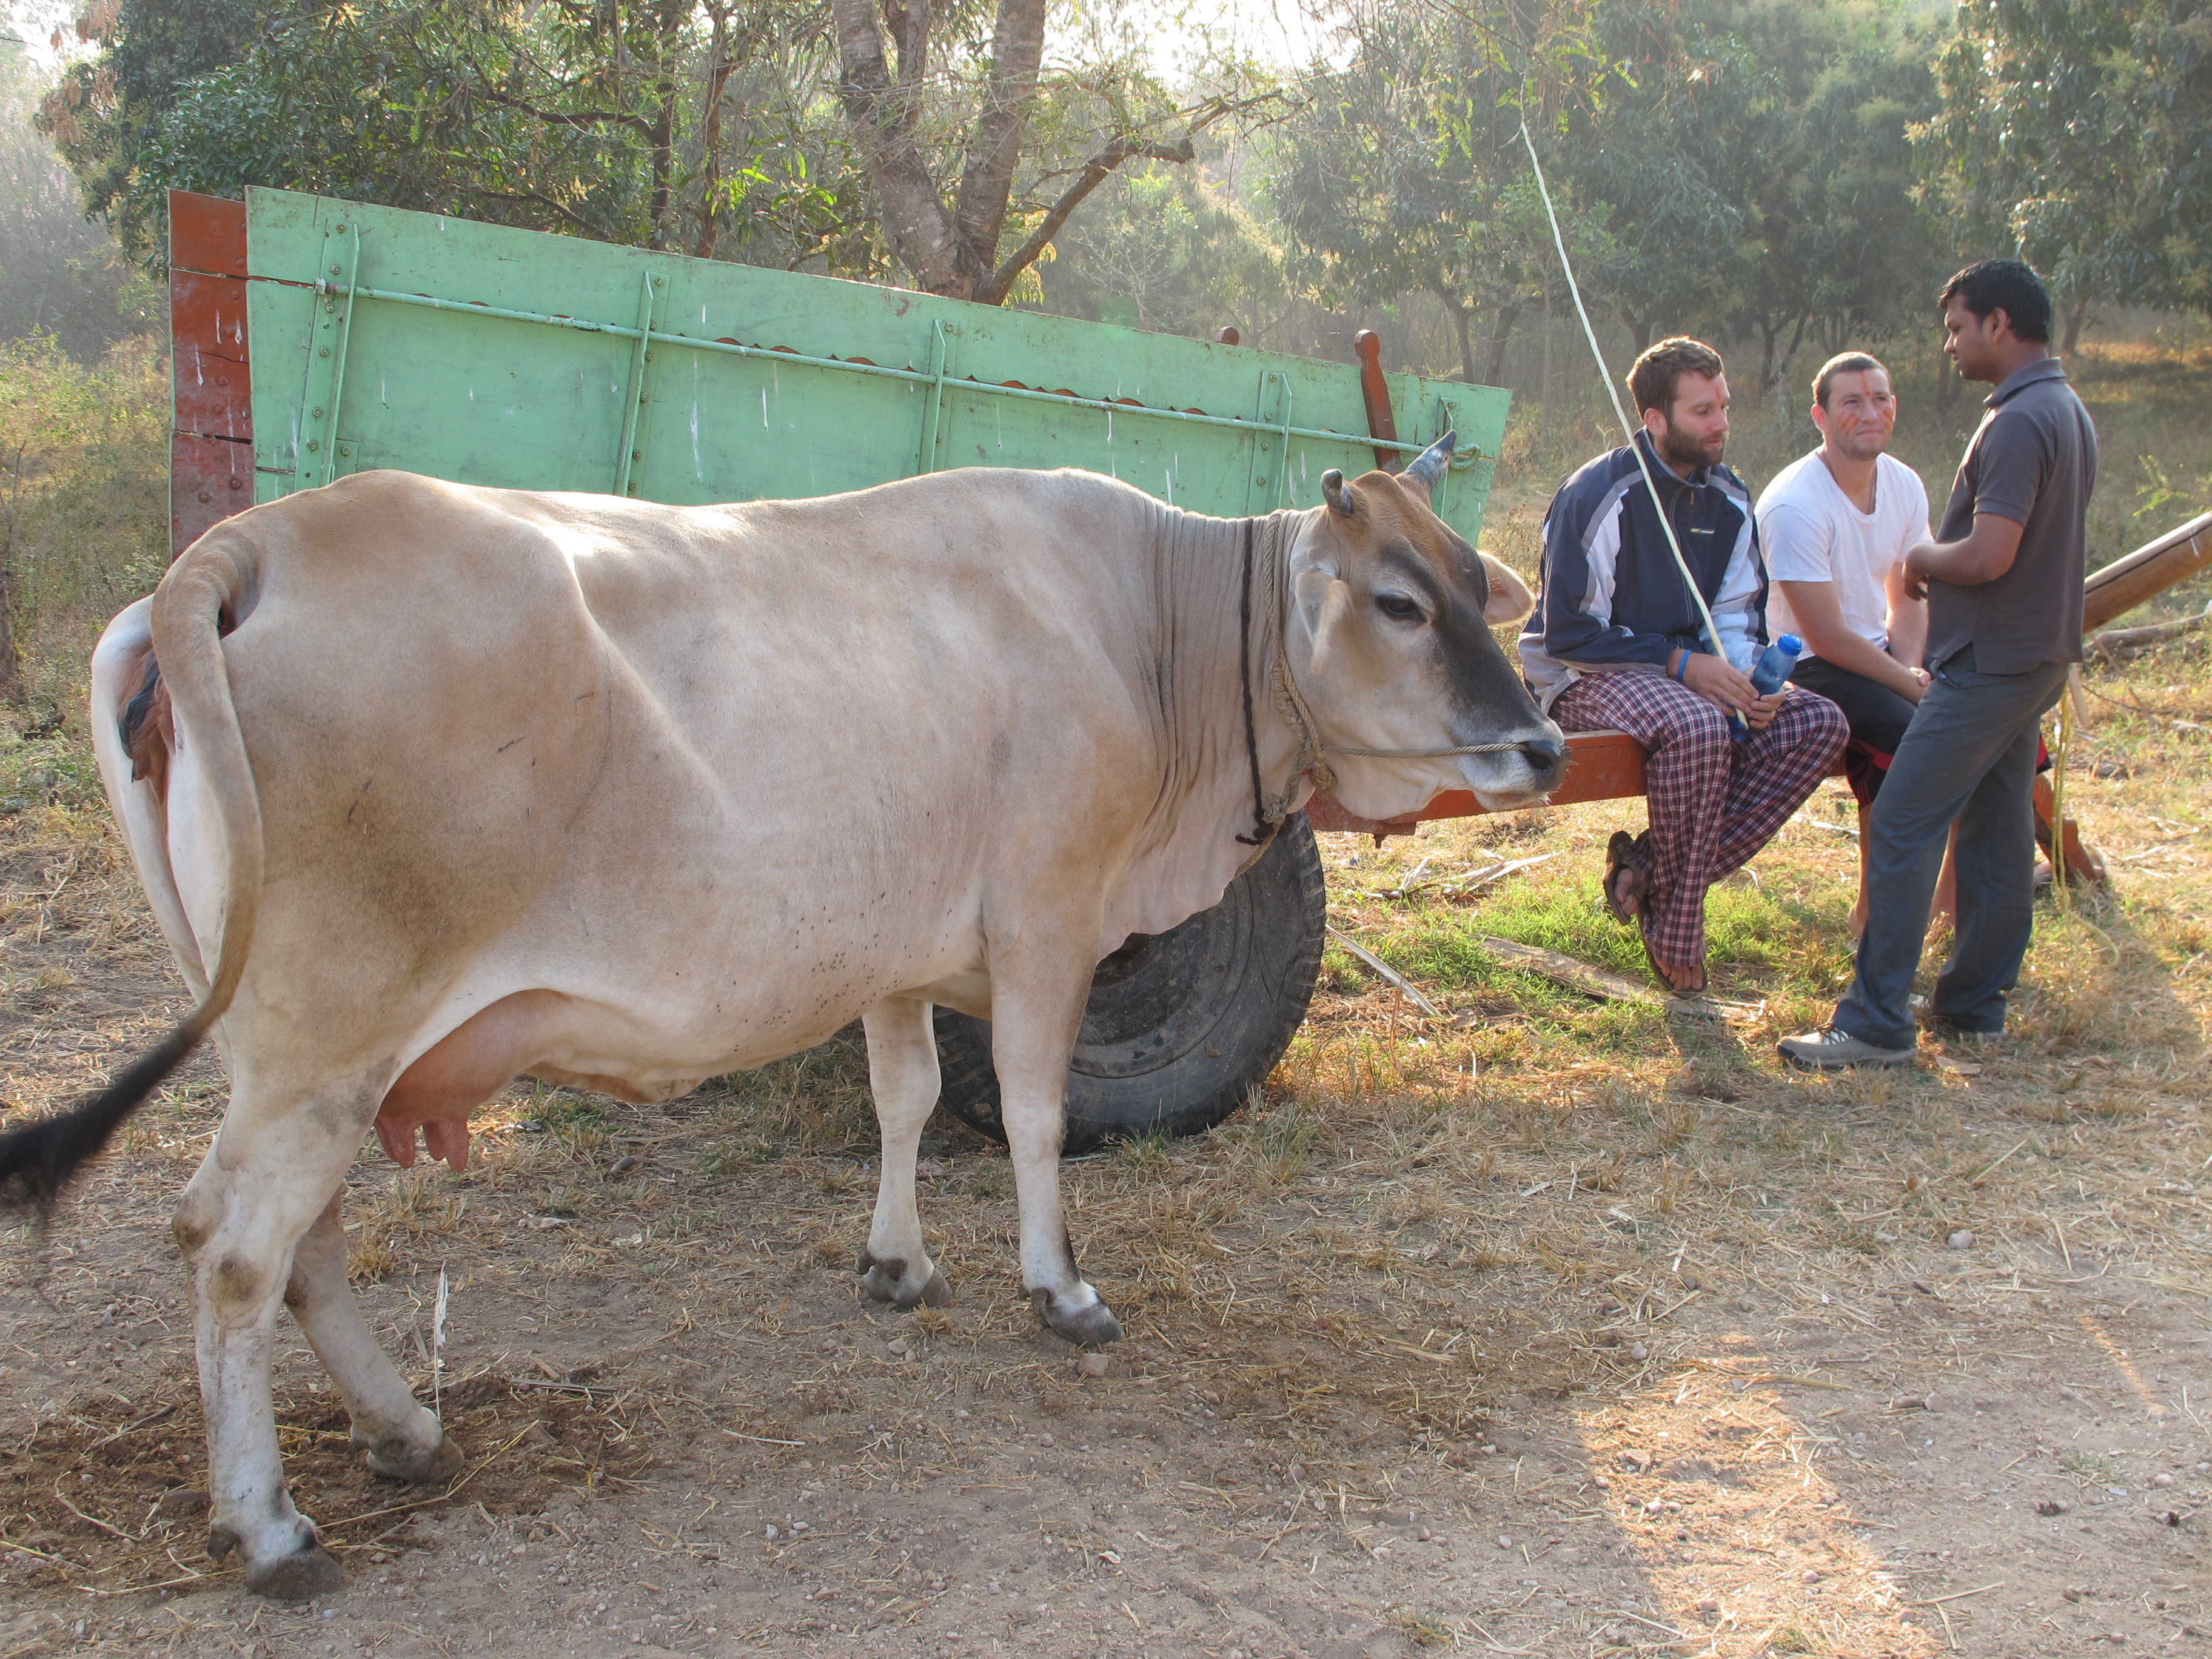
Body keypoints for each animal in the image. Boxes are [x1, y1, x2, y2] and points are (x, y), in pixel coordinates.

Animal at [0, 442, 1557, 1601]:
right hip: (326, 1037)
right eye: (1400, 601)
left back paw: (403, 1429)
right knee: (234, 1248)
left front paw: (897, 1261)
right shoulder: (1048, 925)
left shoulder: (897, 945)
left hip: (296, 1051)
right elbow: (1036, 1113)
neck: (1150, 629)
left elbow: (907, 1095)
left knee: (300, 1249)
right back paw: (268, 1527)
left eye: (1479, 585)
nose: (1541, 743)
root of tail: (251, 544)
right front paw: (1059, 1289)